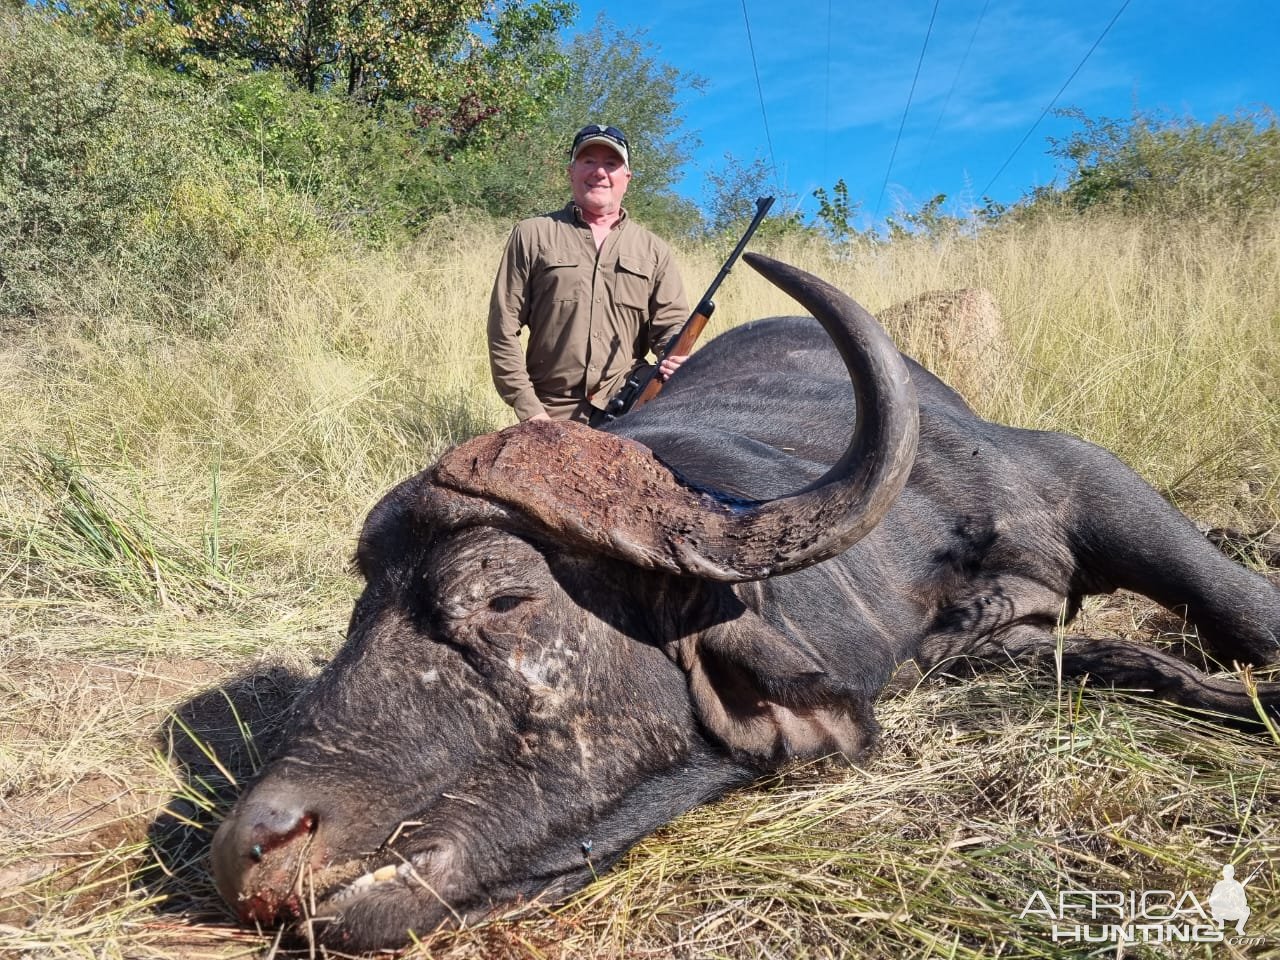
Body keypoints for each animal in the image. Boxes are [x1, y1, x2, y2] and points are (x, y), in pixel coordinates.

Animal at [212, 252, 1280, 952]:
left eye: (504, 597)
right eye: (361, 608)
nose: (252, 849)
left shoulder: (1084, 477)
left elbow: (1243, 611)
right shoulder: (986, 646)